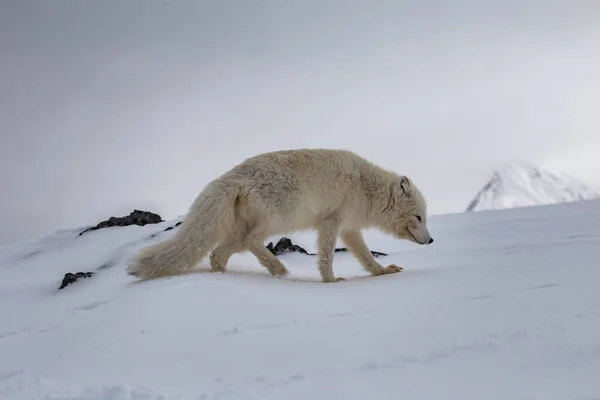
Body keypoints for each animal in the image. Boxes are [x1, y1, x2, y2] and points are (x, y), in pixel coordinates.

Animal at [129, 148, 434, 282]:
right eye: (419, 218)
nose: (431, 241)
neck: (366, 188)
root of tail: (230, 177)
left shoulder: (349, 228)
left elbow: (366, 256)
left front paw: (382, 272)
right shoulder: (331, 221)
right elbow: (327, 255)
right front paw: (331, 280)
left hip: (238, 231)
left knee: (218, 253)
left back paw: (225, 277)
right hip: (279, 218)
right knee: (251, 241)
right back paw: (278, 269)